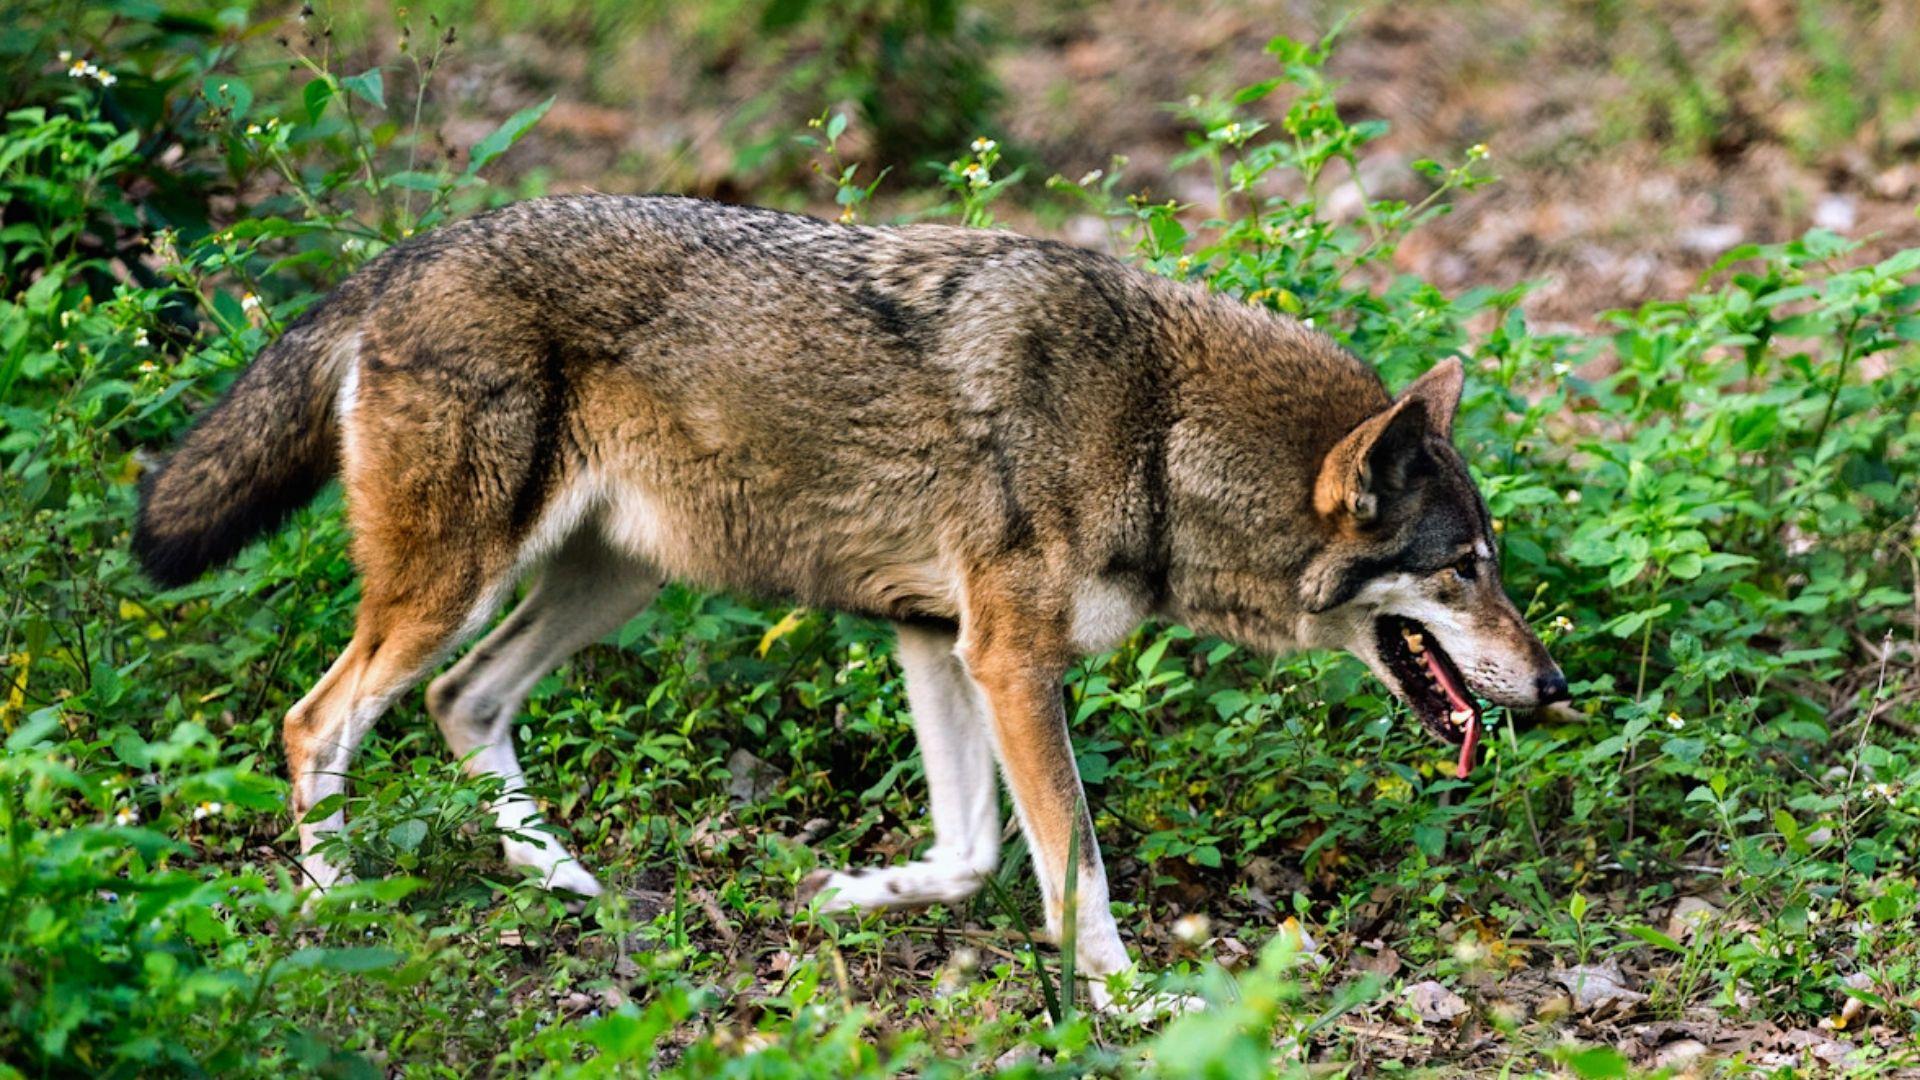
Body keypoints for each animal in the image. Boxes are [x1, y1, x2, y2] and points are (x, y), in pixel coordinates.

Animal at [135, 194, 1567, 1011]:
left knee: (458, 699)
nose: (1553, 688)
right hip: (461, 584)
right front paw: (1127, 1004)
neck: (1158, 430)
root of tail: (397, 258)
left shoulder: (940, 641)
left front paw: (850, 897)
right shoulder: (1008, 659)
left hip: (612, 579)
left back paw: (565, 881)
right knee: (318, 722)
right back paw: (337, 913)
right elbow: (1075, 866)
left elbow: (977, 852)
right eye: (1465, 567)